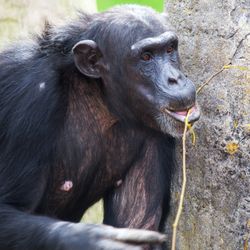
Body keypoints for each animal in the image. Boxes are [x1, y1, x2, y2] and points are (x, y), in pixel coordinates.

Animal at [0, 3, 199, 250]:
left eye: (170, 49)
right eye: (146, 56)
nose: (175, 79)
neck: (99, 95)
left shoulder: (156, 134)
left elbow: (139, 221)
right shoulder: (31, 95)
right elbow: (8, 209)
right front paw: (93, 238)